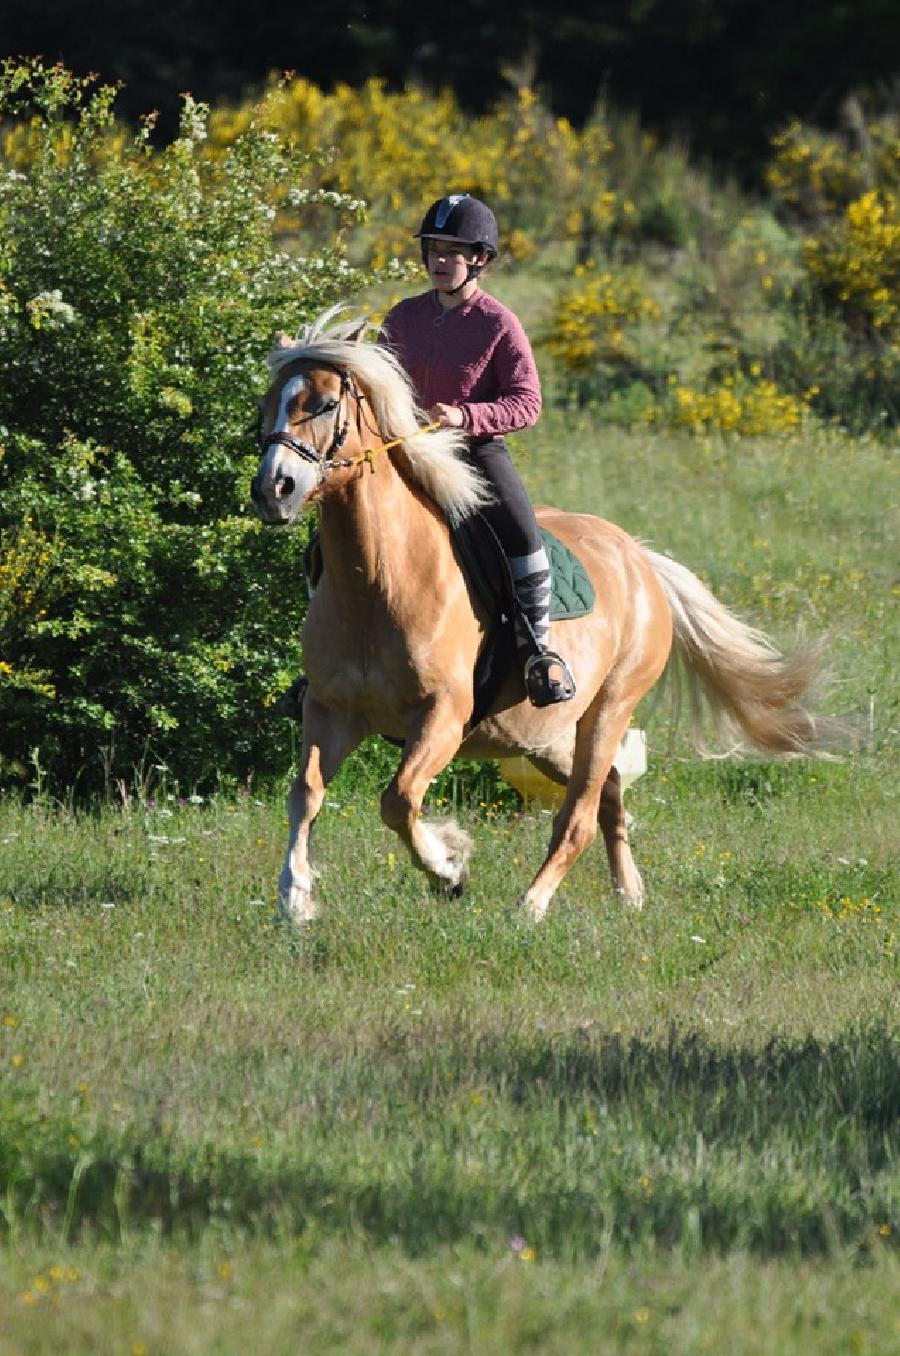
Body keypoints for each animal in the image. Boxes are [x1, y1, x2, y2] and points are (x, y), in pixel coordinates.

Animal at [249, 309, 824, 927]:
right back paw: (630, 895)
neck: (378, 583)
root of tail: (639, 559)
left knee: (579, 814)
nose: (272, 490)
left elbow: (398, 800)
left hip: (609, 711)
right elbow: (305, 793)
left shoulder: (442, 716)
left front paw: (448, 868)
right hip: (545, 737)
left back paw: (531, 905)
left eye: (326, 403)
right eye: (269, 404)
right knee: (609, 794)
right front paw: (295, 899)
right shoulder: (329, 710)